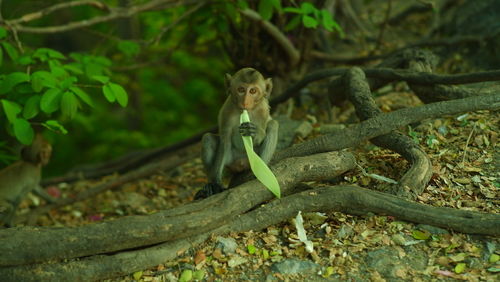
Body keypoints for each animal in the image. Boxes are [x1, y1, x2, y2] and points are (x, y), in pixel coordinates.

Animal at [195, 67, 280, 199]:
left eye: (253, 91)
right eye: (241, 90)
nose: (245, 101)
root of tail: (241, 163)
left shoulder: (263, 109)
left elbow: (263, 130)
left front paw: (255, 132)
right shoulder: (226, 111)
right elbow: (224, 142)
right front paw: (215, 183)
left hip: (252, 157)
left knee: (273, 125)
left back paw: (260, 171)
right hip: (231, 160)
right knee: (207, 138)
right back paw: (209, 185)